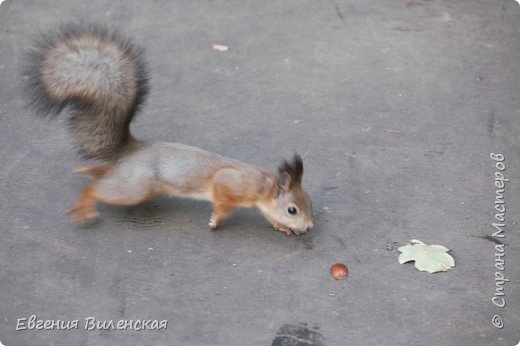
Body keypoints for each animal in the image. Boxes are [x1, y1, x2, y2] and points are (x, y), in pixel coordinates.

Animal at [23, 23, 312, 235]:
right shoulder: (229, 182)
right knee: (96, 189)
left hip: (129, 179)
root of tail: (133, 150)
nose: (310, 227)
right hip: (135, 188)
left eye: (309, 202)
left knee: (102, 175)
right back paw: (86, 202)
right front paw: (216, 220)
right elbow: (222, 203)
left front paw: (279, 226)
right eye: (293, 210)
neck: (263, 184)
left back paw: (89, 171)